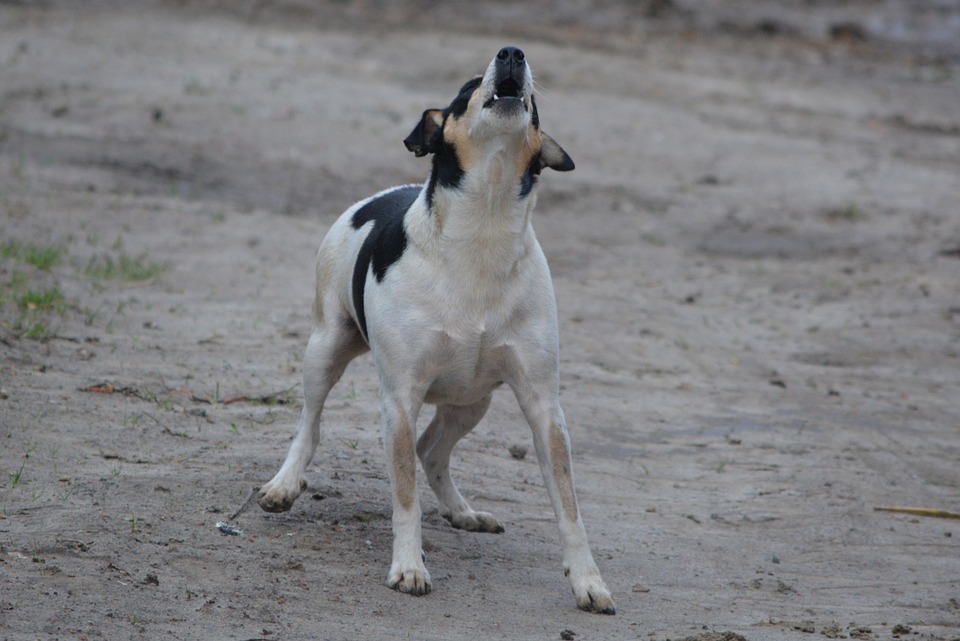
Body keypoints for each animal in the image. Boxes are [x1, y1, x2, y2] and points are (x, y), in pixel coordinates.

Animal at [255, 46, 616, 616]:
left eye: (535, 103)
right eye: (467, 88)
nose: (512, 53)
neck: (483, 230)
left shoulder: (543, 405)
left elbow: (569, 506)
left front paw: (587, 581)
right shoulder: (400, 399)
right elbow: (405, 496)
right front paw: (408, 567)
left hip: (472, 400)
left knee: (432, 451)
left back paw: (463, 511)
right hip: (325, 349)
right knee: (310, 426)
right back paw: (285, 484)